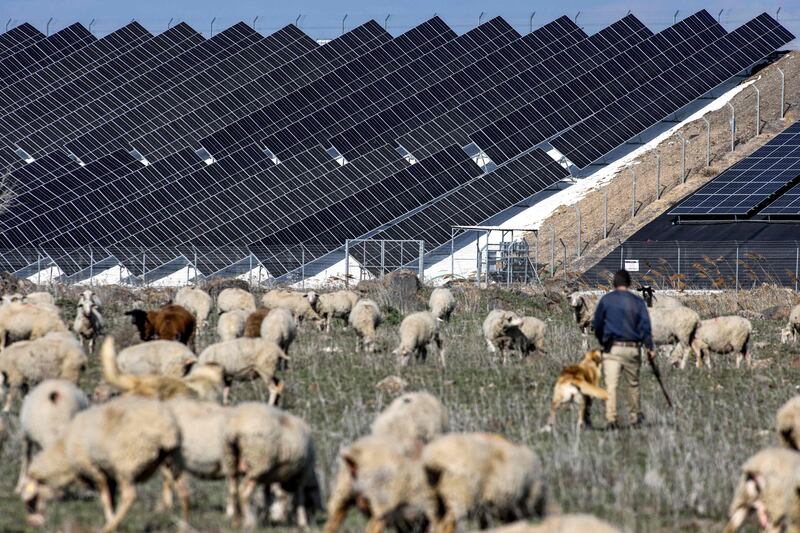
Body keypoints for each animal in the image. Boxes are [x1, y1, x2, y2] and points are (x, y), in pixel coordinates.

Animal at [21, 394, 188, 532]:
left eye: (32, 501)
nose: (32, 523)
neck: (65, 452)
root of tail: (165, 429)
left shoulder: (94, 469)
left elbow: (104, 498)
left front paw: (111, 521)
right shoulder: (109, 474)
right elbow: (111, 498)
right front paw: (114, 519)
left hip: (126, 464)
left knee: (129, 496)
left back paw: (107, 528)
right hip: (171, 460)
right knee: (183, 492)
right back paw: (184, 526)